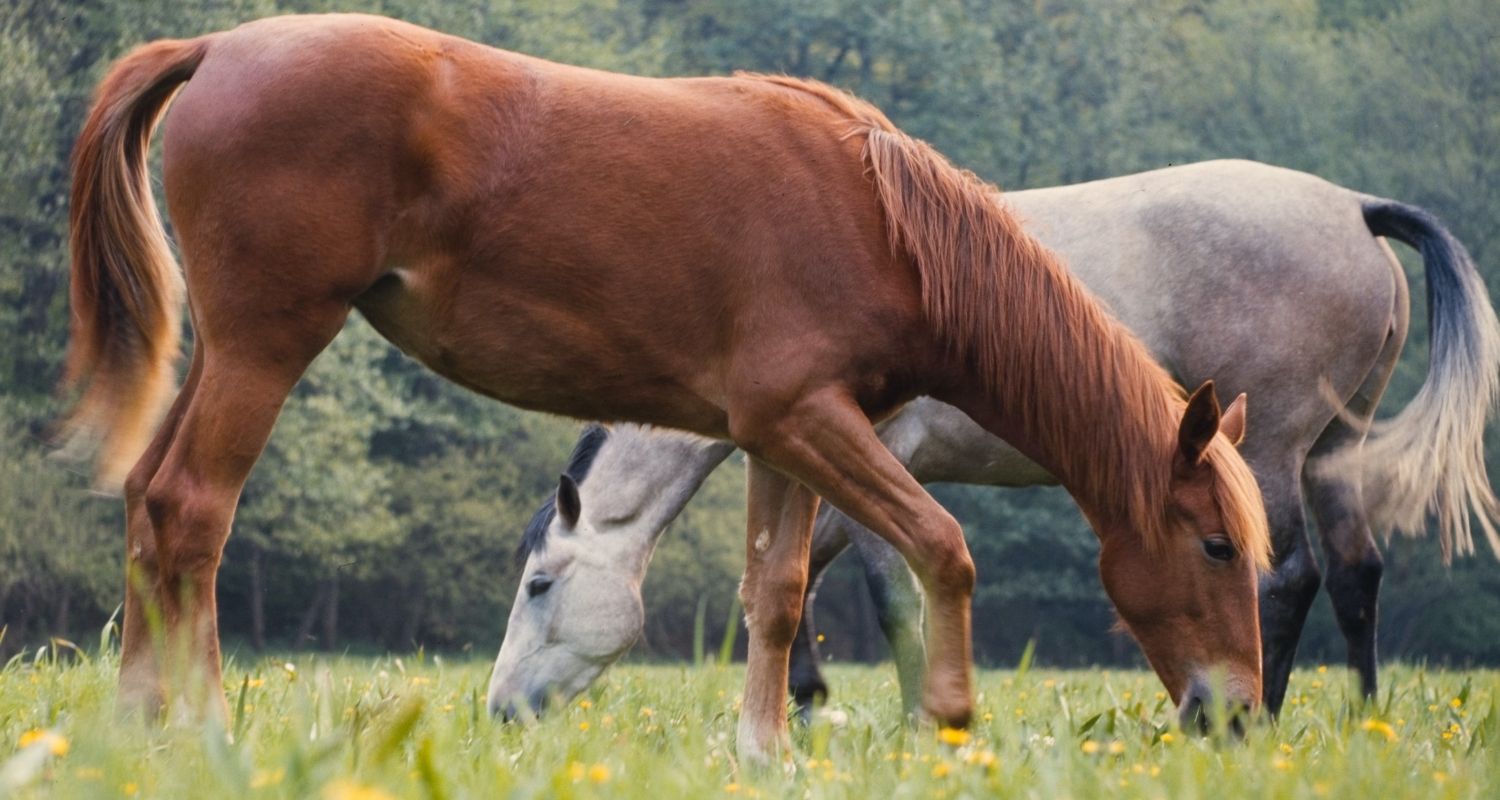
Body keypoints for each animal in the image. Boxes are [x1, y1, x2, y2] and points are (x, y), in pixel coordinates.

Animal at [67, 14, 1266, 762]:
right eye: (1215, 546)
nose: (1238, 717)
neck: (881, 222)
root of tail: (219, 45)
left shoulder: (787, 436)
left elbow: (776, 593)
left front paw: (764, 750)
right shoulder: (806, 421)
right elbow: (942, 545)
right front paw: (950, 718)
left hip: (221, 352)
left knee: (147, 505)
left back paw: (133, 727)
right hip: (265, 345)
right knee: (193, 512)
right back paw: (208, 731)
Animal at [486, 159, 1494, 714]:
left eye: (539, 585)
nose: (499, 714)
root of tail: (1353, 205)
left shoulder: (875, 460)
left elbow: (881, 592)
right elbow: (799, 579)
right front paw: (813, 708)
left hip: (1269, 450)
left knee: (1287, 578)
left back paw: (1262, 715)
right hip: (1331, 451)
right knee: (1358, 575)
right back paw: (1359, 720)